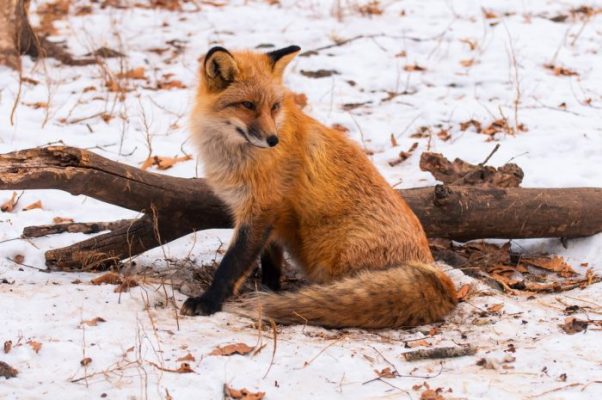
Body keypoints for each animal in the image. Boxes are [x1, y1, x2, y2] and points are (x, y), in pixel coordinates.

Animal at [180, 46, 458, 328]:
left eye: (274, 107)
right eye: (247, 105)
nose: (272, 140)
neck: (235, 154)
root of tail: (436, 273)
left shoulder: (261, 208)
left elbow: (233, 263)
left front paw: (209, 301)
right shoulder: (271, 214)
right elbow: (270, 262)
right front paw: (270, 289)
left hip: (332, 248)